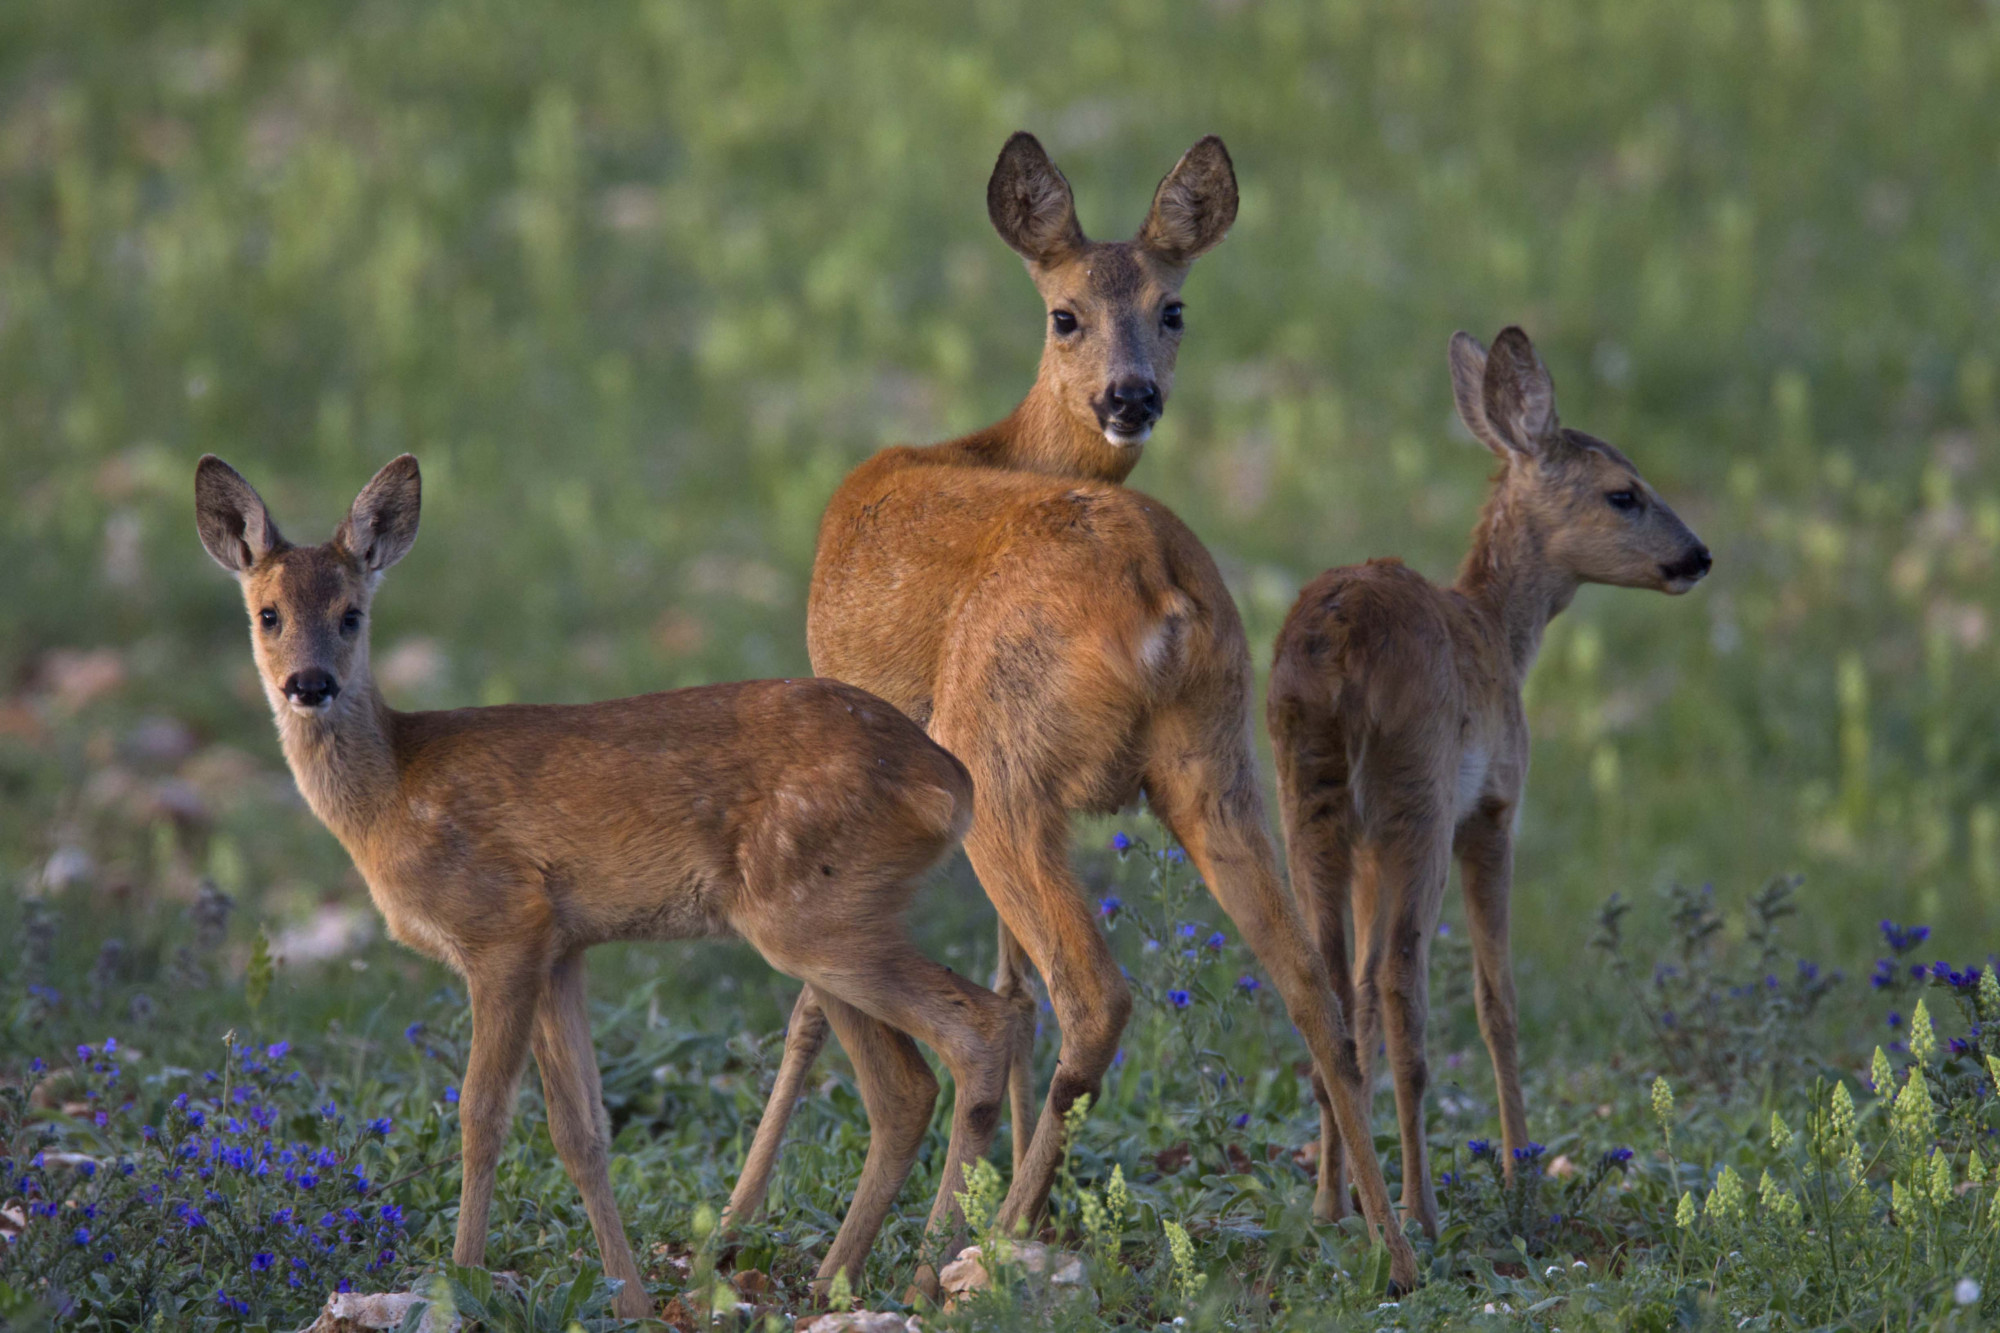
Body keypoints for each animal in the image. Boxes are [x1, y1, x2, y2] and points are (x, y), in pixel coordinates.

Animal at [191, 454, 1016, 1304]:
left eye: (352, 613)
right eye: (268, 613)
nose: (309, 683)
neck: (392, 793)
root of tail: (950, 780)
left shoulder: (503, 924)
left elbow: (481, 1114)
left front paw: (462, 1278)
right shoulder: (562, 947)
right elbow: (581, 1129)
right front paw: (631, 1296)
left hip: (815, 913)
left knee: (981, 1027)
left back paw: (921, 1280)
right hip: (832, 917)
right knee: (904, 1089)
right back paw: (833, 1282)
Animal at [720, 130, 1424, 1280]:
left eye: (1174, 306)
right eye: (1065, 313)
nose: (1129, 395)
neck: (989, 444)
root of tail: (1159, 592)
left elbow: (813, 1009)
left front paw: (737, 1219)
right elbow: (999, 980)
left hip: (996, 755)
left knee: (1091, 993)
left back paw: (969, 1250)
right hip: (1212, 762)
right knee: (1310, 988)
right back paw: (1387, 1247)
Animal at [1272, 324, 1712, 1232]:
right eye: (1624, 493)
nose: (1699, 555)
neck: (1501, 631)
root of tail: (1337, 653)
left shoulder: (1367, 843)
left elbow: (1356, 993)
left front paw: (1352, 1192)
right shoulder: (1496, 806)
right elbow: (1496, 998)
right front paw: (1519, 1169)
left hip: (1306, 796)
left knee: (1328, 983)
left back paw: (1334, 1204)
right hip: (1417, 794)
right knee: (1401, 984)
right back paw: (1421, 1209)